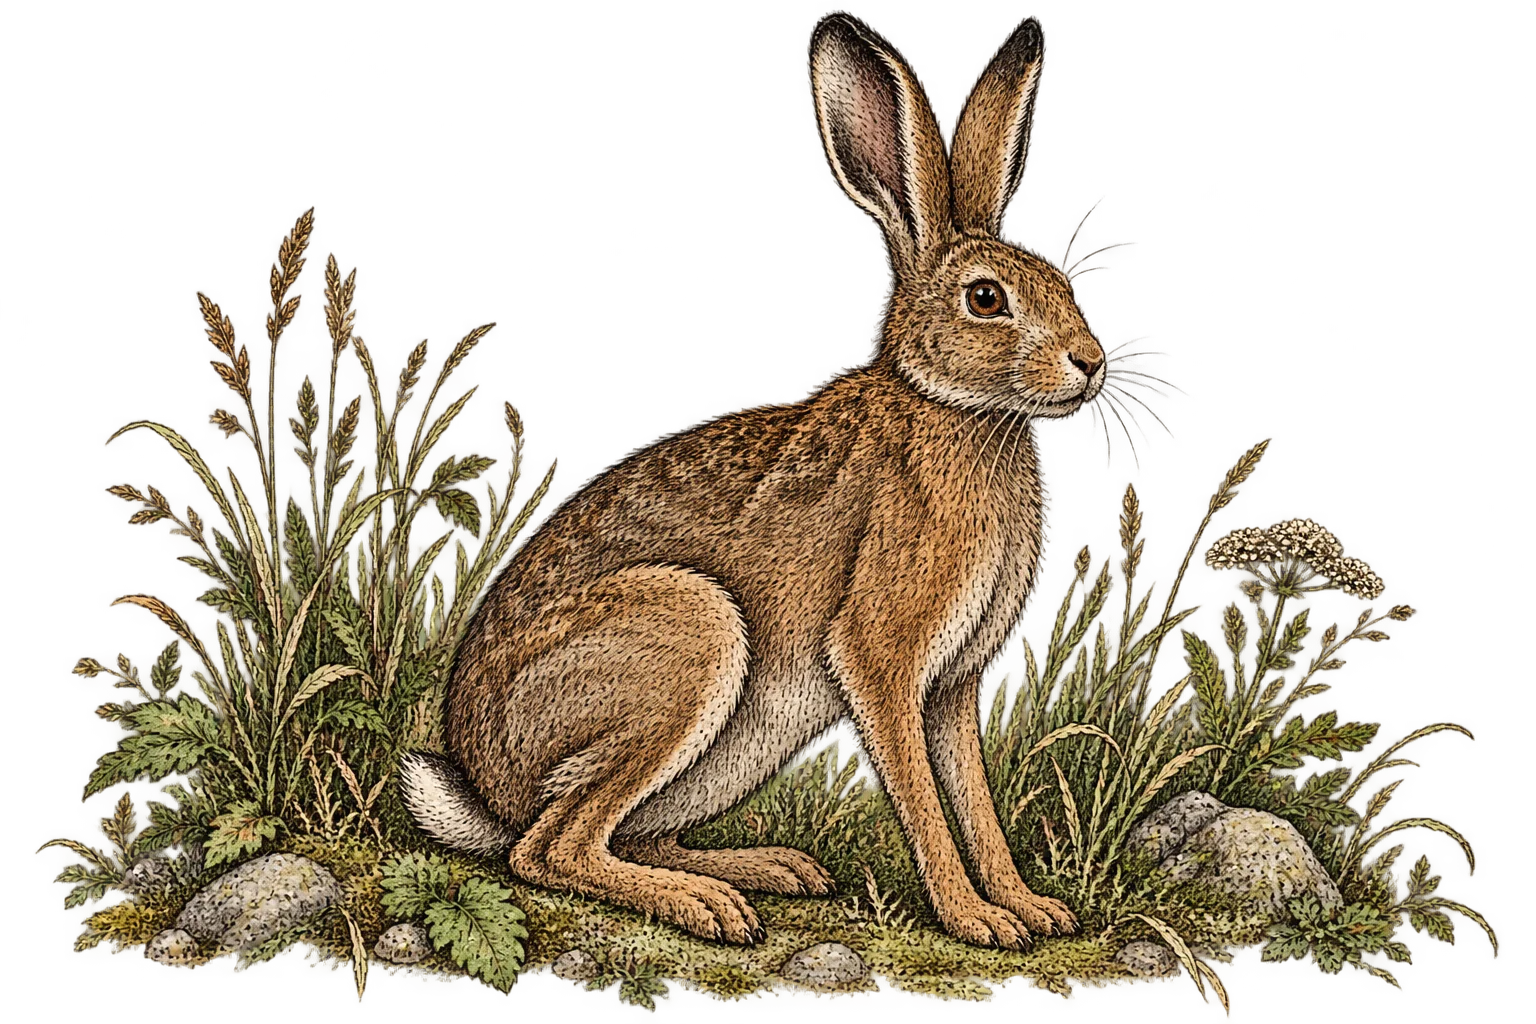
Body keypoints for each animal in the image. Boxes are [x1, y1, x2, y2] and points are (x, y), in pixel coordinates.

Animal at [400, 13, 1103, 950]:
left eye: (1060, 282)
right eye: (987, 299)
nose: (1090, 362)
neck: (955, 411)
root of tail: (485, 787)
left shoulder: (953, 686)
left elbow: (973, 798)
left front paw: (1029, 908)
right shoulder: (881, 659)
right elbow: (923, 799)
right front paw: (975, 921)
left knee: (622, 832)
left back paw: (768, 870)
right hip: (688, 638)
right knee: (549, 849)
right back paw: (708, 907)